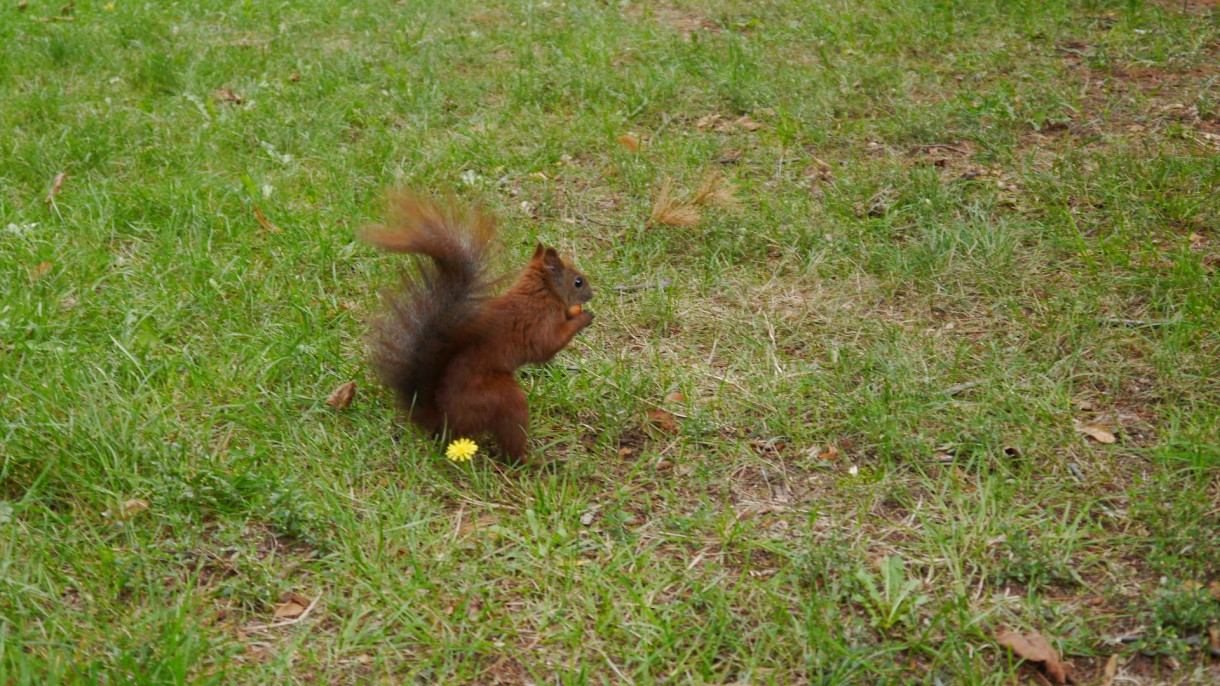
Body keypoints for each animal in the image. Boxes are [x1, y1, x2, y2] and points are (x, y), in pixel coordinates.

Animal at [358, 189, 592, 461]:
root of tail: (443, 421)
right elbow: (548, 345)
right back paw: (532, 461)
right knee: (511, 445)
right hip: (502, 398)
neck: (540, 293)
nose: (592, 294)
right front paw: (583, 317)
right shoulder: (537, 323)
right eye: (578, 281)